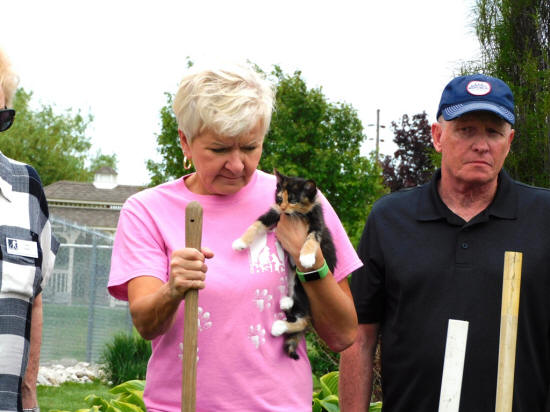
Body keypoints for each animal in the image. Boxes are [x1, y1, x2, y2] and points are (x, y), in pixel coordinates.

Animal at [232, 169, 337, 359]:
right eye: (280, 198)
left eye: (294, 200)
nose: (283, 207)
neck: (295, 214)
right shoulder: (273, 213)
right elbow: (257, 224)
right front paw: (241, 242)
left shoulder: (317, 221)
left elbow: (312, 237)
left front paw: (307, 257)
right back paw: (286, 302)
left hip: (305, 287)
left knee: (305, 320)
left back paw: (279, 326)